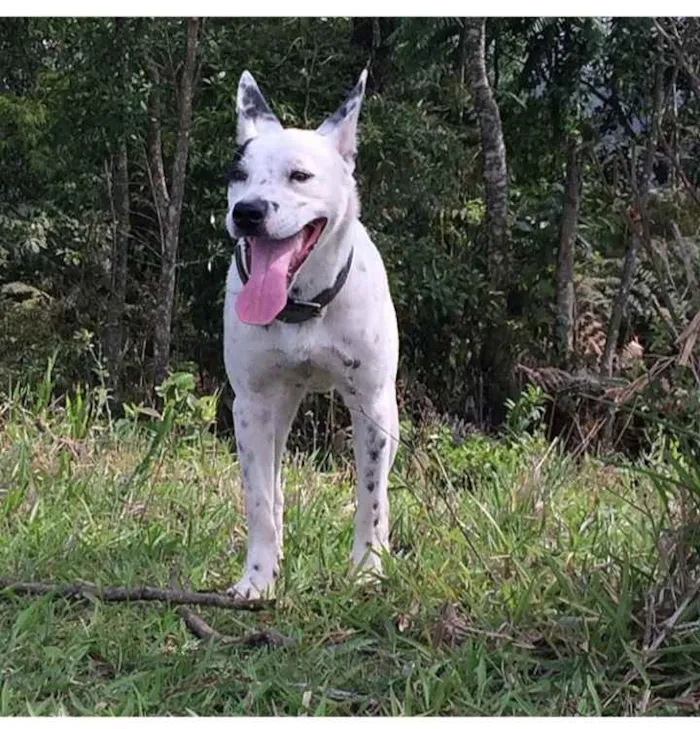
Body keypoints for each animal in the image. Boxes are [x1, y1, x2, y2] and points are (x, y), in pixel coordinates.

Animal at [224, 71, 400, 600]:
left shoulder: (371, 407)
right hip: (277, 412)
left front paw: (367, 568)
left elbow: (370, 496)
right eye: (237, 176)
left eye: (299, 176)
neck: (302, 305)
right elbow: (259, 501)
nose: (247, 211)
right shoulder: (251, 405)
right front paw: (257, 579)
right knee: (275, 480)